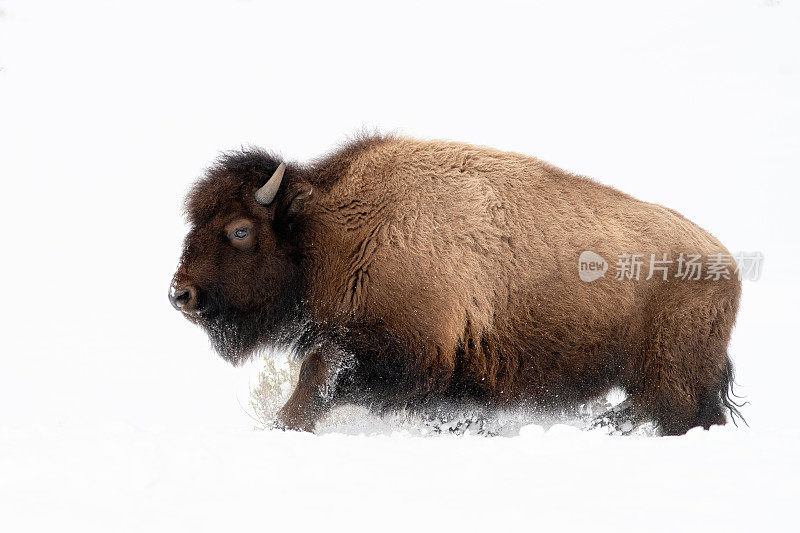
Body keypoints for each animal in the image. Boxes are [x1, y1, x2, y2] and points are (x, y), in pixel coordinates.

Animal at [169, 132, 744, 432]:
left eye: (240, 230)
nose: (180, 294)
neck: (327, 227)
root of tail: (726, 262)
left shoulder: (406, 351)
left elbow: (319, 370)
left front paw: (286, 424)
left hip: (669, 373)